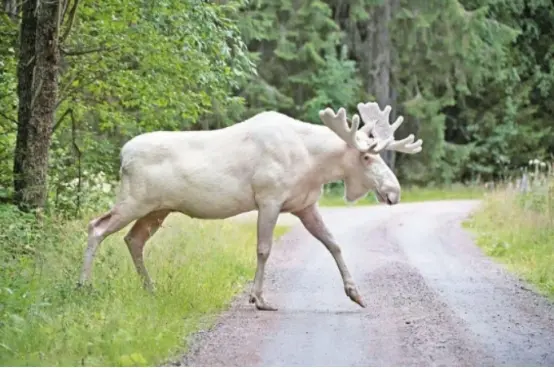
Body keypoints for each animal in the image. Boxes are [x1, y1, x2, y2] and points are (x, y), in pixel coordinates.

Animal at [77, 100, 420, 310]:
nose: (394, 191)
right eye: (367, 157)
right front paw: (259, 298)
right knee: (97, 227)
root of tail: (123, 155)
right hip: (134, 200)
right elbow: (264, 249)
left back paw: (150, 289)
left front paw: (356, 293)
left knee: (133, 239)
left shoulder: (305, 205)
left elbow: (333, 243)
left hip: (157, 209)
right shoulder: (269, 198)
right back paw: (84, 285)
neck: (314, 164)